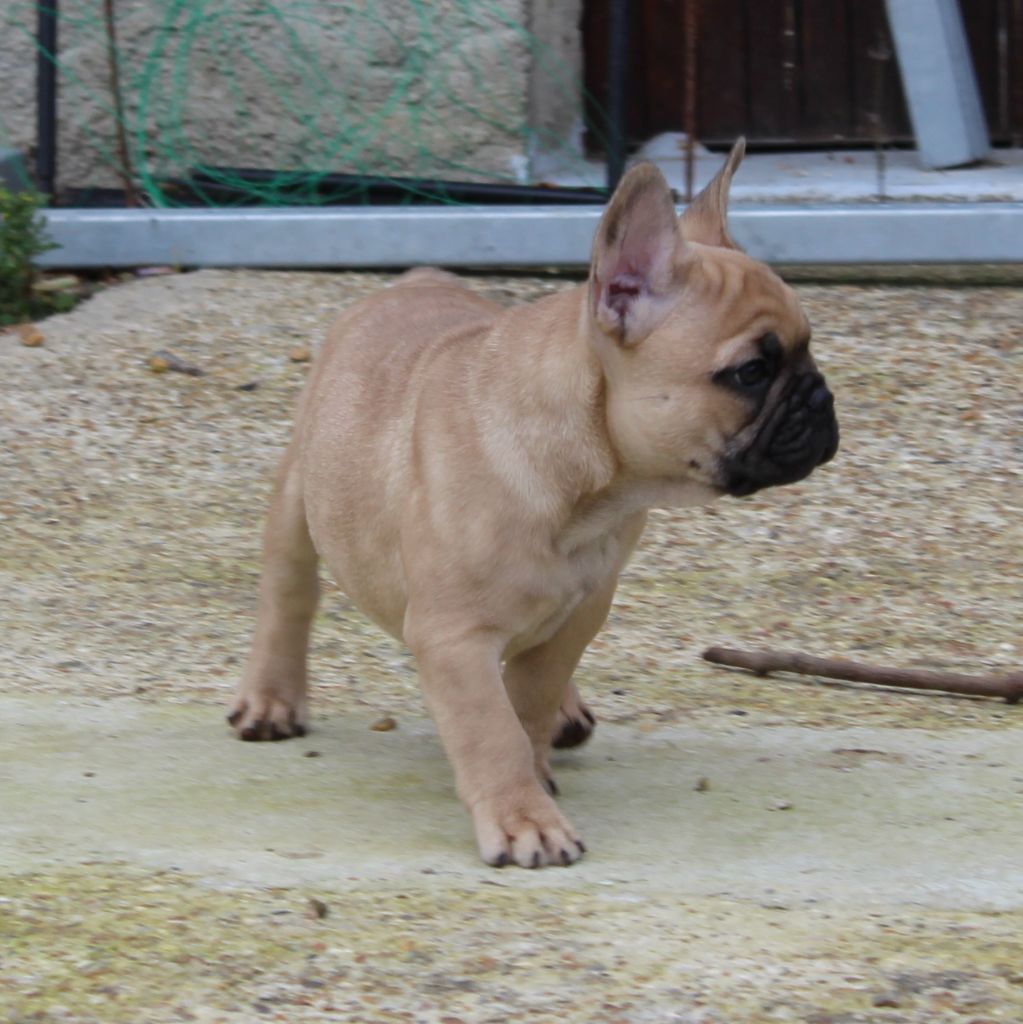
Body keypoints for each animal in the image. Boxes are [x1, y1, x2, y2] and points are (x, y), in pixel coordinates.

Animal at [230, 140, 839, 868]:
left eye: (808, 348)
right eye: (750, 372)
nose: (820, 399)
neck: (588, 488)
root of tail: (414, 281)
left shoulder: (580, 612)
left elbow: (529, 696)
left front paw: (536, 763)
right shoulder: (454, 635)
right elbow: (493, 731)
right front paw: (524, 817)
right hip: (300, 498)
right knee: (287, 596)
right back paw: (270, 699)